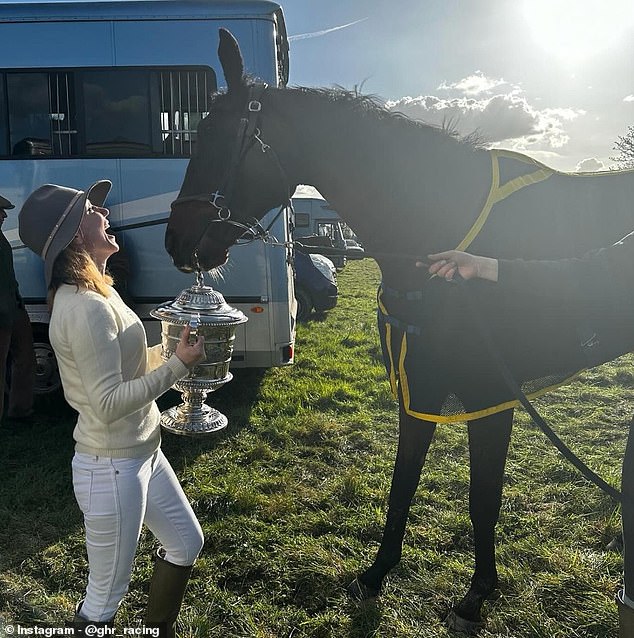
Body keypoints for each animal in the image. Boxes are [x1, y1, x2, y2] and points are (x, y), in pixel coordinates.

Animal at [167, 28, 632, 636]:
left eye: (215, 137)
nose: (177, 240)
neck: (437, 231)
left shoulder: (491, 397)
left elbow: (483, 498)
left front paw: (476, 596)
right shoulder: (420, 388)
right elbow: (403, 480)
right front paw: (377, 572)